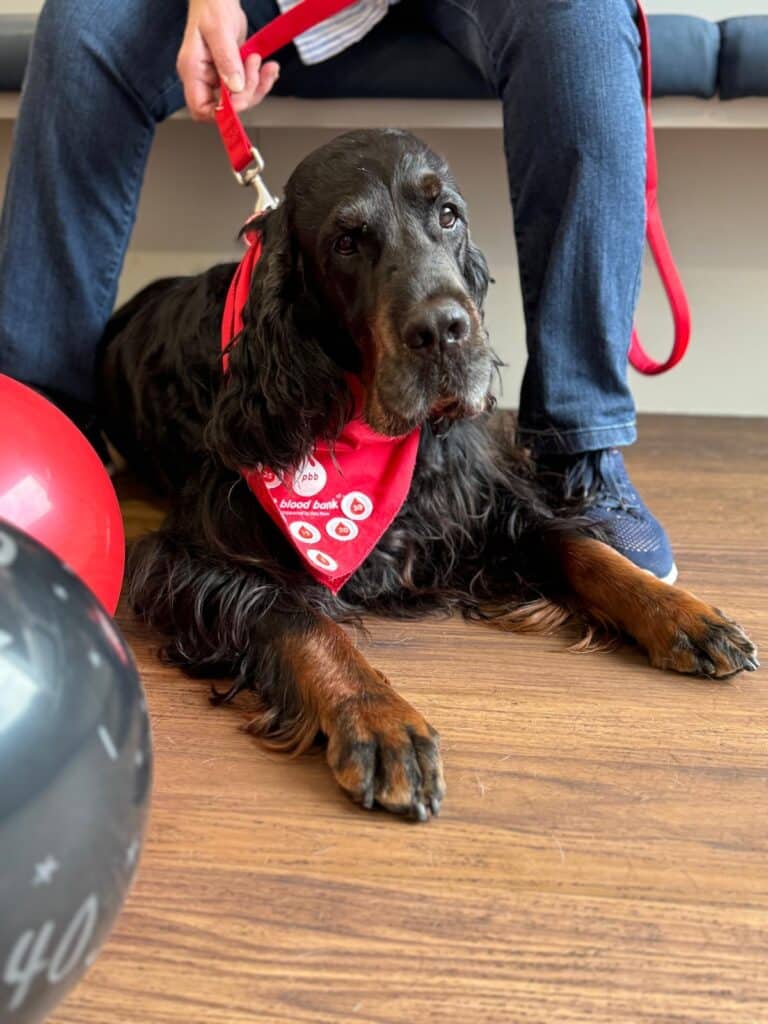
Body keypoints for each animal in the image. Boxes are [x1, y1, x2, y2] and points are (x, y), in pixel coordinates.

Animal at [99, 128, 761, 819]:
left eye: (448, 215)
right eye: (346, 241)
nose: (445, 330)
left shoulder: (473, 503)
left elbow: (575, 545)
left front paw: (680, 610)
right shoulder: (193, 559)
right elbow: (301, 619)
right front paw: (380, 720)